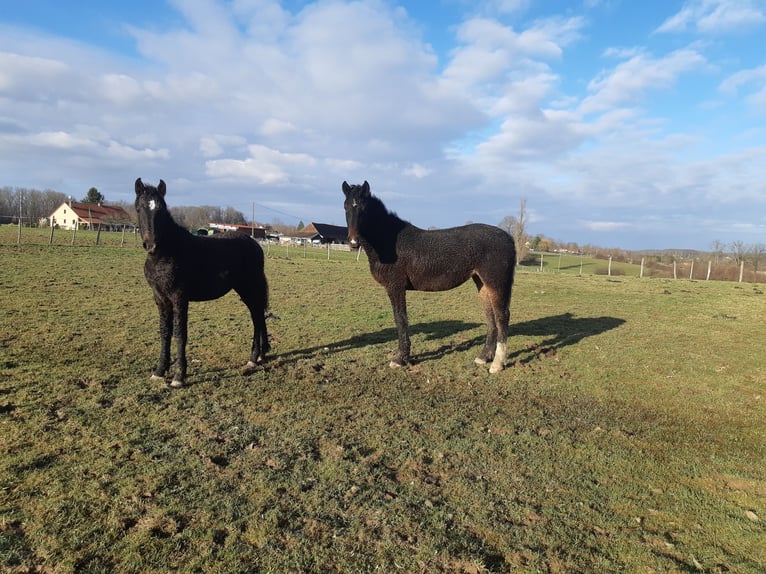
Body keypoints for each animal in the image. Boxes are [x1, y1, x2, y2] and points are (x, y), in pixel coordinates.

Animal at [135, 178, 269, 387]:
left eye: (161, 209)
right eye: (139, 208)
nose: (151, 245)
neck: (166, 253)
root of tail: (255, 244)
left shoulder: (179, 298)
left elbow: (180, 333)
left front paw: (178, 377)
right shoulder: (160, 299)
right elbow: (165, 332)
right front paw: (159, 372)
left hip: (249, 287)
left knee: (257, 316)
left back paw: (253, 359)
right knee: (259, 316)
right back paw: (261, 356)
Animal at [342, 181, 516, 373]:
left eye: (364, 209)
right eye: (345, 207)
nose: (353, 242)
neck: (391, 242)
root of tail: (509, 238)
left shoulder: (396, 287)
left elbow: (400, 319)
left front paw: (400, 359)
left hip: (496, 282)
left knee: (502, 316)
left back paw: (497, 364)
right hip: (482, 282)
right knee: (490, 316)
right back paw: (483, 357)